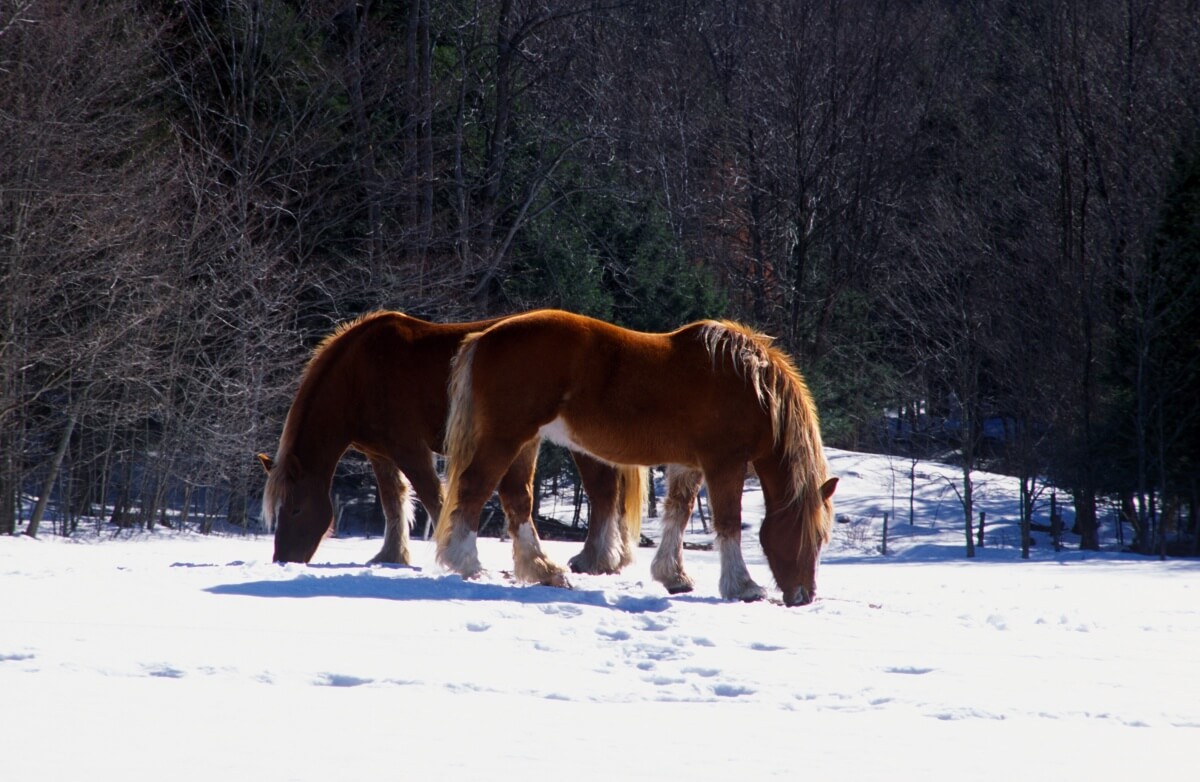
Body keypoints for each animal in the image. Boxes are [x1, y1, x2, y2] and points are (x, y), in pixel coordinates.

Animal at [258, 311, 644, 582]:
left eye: (295, 509)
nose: (283, 559)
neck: (360, 374)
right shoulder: (380, 454)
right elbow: (393, 503)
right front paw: (391, 557)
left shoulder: (410, 449)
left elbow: (435, 498)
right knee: (605, 493)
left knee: (601, 492)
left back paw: (594, 560)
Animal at [435, 310, 838, 606]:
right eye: (815, 536)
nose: (804, 597)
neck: (751, 389)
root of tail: (483, 338)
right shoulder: (724, 463)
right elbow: (728, 522)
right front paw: (743, 586)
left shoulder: (688, 464)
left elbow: (678, 513)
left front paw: (673, 576)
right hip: (506, 437)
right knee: (475, 487)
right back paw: (466, 562)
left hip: (526, 441)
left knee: (517, 498)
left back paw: (543, 569)